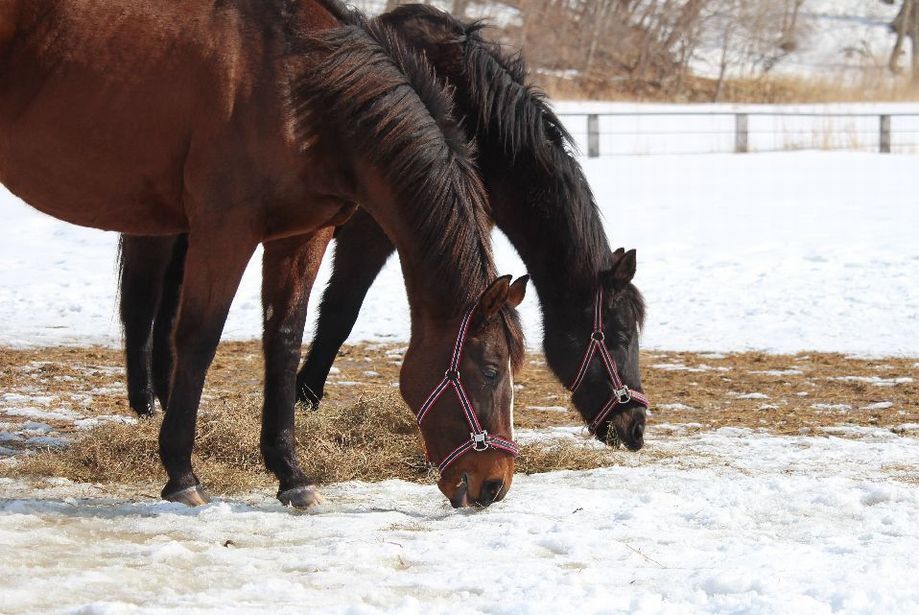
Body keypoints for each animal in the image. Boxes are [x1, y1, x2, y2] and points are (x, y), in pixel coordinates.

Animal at [0, 1, 528, 510]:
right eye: (490, 370)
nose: (494, 485)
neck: (303, 89)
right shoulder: (225, 232)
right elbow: (198, 338)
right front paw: (181, 474)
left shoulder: (303, 236)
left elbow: (284, 341)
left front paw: (291, 475)